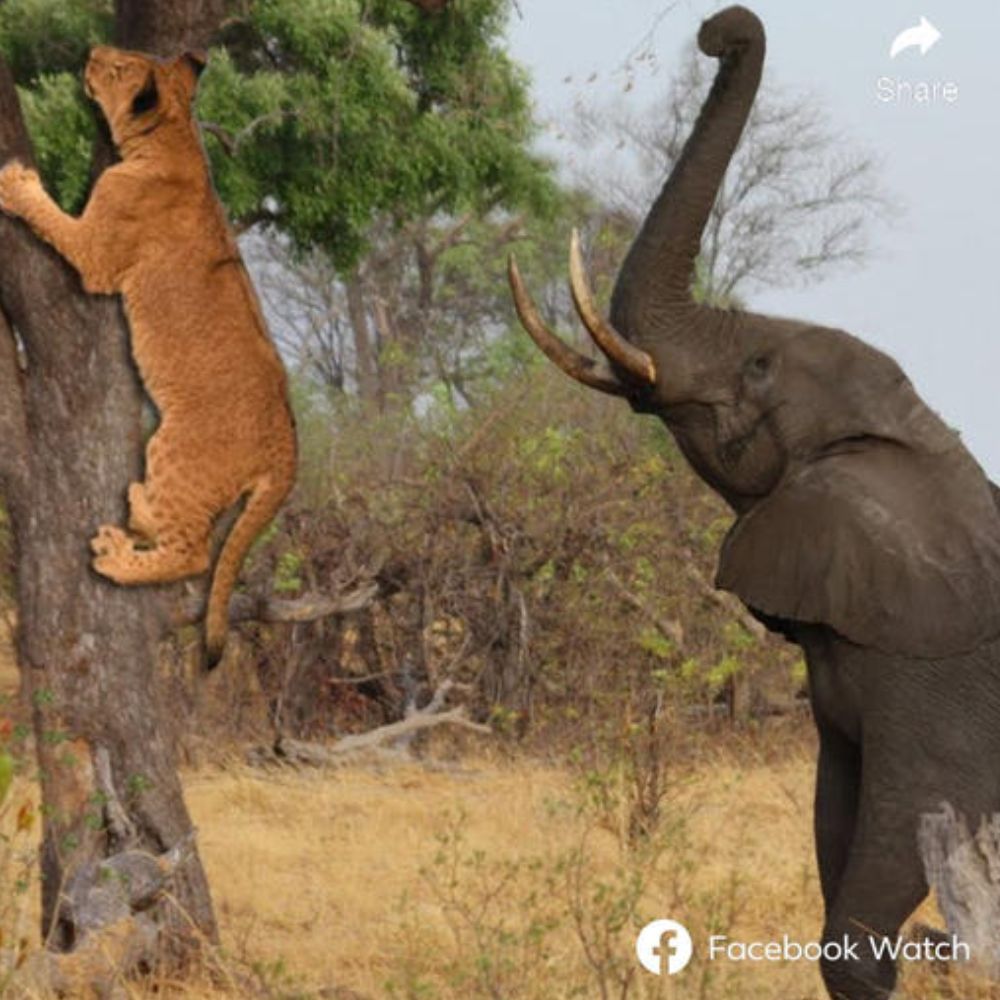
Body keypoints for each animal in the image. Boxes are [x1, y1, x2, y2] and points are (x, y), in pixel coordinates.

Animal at [508, 7, 1000, 1000]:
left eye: (760, 366)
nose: (718, 29)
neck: (913, 438)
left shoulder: (940, 671)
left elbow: (898, 839)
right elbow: (834, 819)